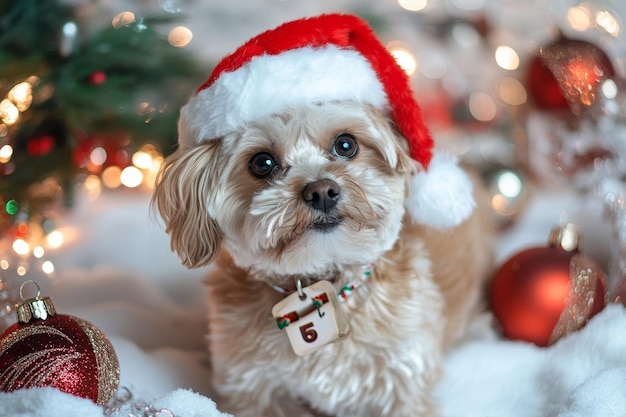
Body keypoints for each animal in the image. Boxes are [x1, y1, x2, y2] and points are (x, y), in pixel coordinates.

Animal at [152, 98, 492, 416]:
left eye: (346, 145)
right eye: (262, 163)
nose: (322, 191)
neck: (322, 283)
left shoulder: (403, 382)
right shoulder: (253, 389)